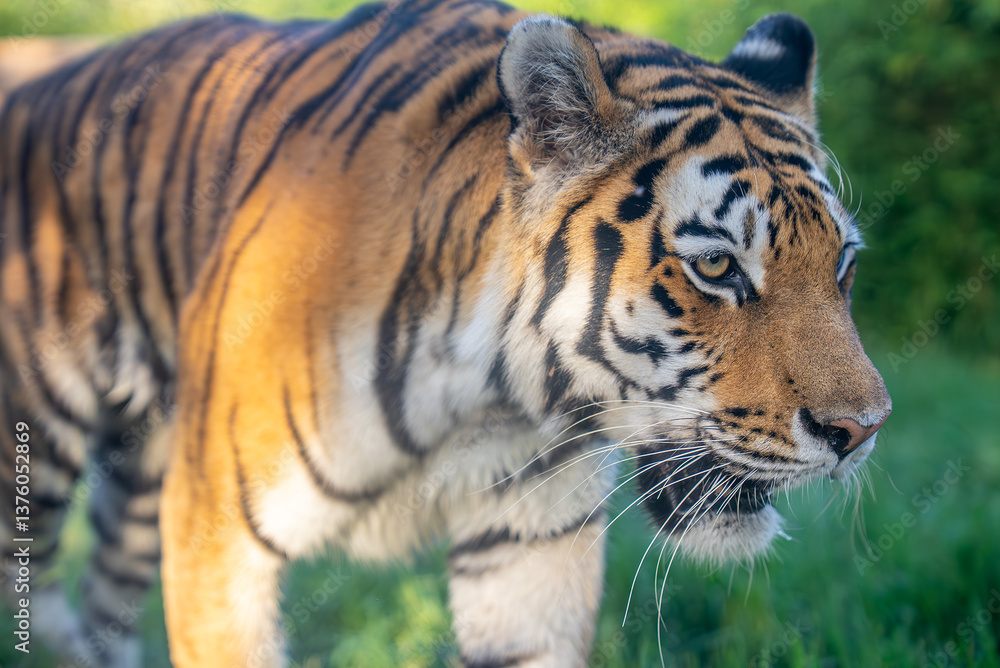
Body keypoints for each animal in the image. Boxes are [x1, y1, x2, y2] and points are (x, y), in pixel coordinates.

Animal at [0, 0, 892, 665]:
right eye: (716, 267)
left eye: (843, 265)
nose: (862, 430)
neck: (494, 390)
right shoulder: (216, 531)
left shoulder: (530, 549)